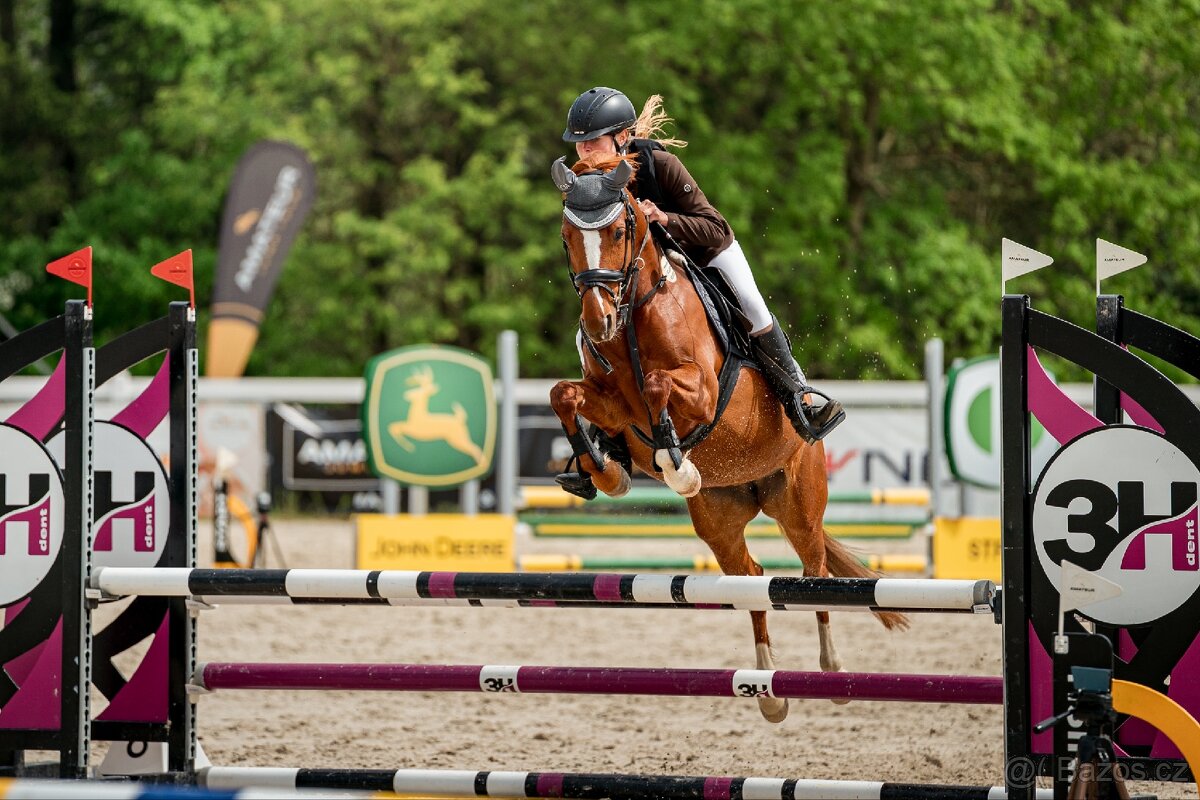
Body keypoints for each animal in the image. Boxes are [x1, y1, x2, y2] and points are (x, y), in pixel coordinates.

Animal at [548, 154, 908, 723]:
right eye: (567, 236)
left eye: (619, 230)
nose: (598, 321)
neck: (635, 315)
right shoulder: (613, 405)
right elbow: (565, 394)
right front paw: (601, 470)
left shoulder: (701, 391)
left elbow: (659, 387)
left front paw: (677, 465)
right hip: (720, 522)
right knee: (753, 578)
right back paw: (768, 691)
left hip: (799, 504)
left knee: (813, 571)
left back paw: (831, 671)